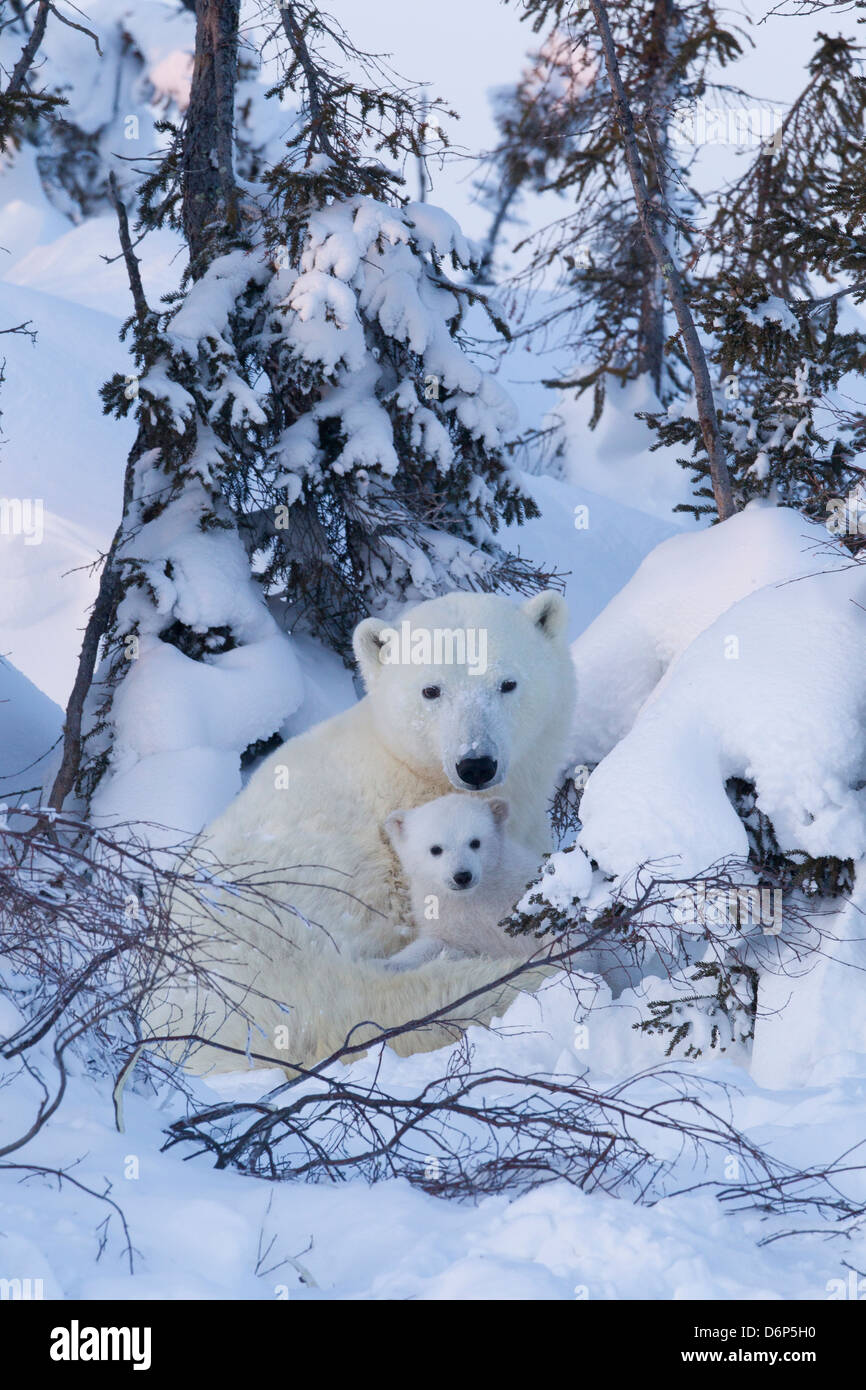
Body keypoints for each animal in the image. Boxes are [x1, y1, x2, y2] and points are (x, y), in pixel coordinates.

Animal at [380, 795, 539, 967]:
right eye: (435, 849)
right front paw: (386, 963)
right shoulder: (448, 917)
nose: (462, 876)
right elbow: (440, 943)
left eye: (475, 842)